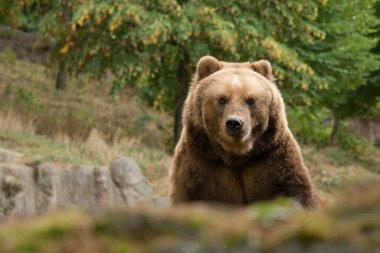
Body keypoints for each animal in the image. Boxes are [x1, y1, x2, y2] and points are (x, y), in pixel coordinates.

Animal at [169, 56, 320, 209]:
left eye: (251, 100)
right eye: (222, 99)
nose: (234, 123)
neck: (236, 155)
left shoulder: (274, 160)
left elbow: (294, 192)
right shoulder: (199, 164)